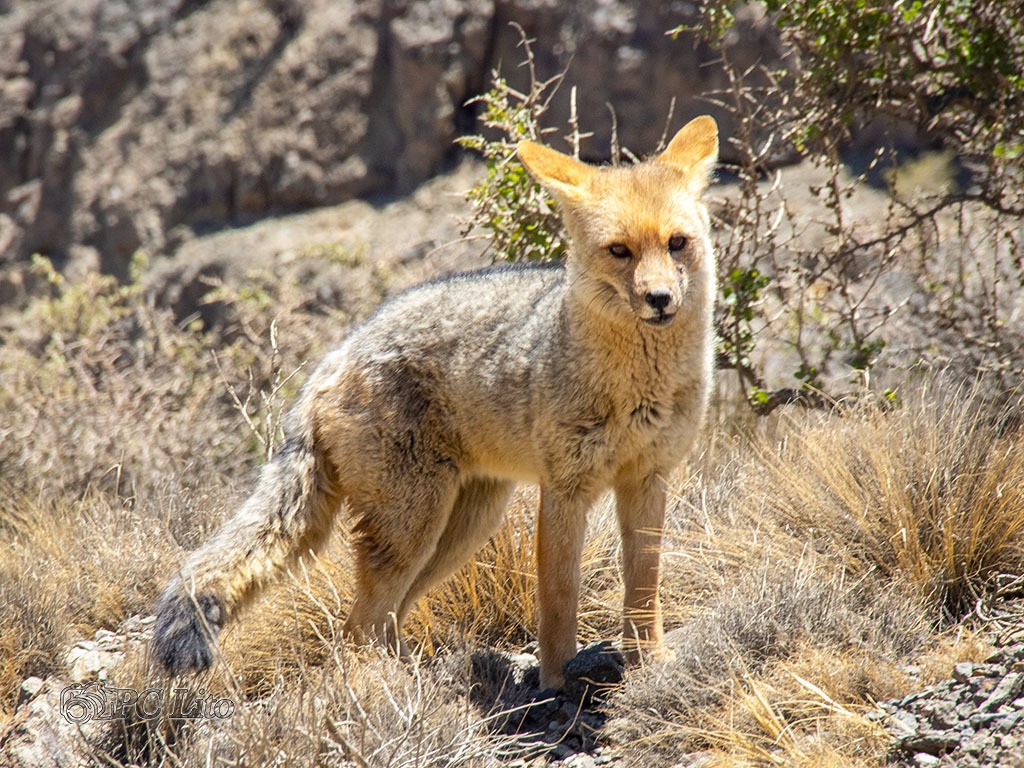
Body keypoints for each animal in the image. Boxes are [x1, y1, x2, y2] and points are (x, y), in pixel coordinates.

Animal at [153, 115, 720, 692]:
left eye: (677, 243)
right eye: (619, 251)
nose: (659, 299)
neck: (636, 389)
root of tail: (334, 357)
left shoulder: (648, 478)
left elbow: (644, 589)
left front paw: (649, 662)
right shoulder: (566, 489)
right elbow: (559, 599)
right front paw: (557, 681)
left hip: (461, 528)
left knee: (386, 619)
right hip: (416, 527)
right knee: (357, 628)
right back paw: (385, 686)